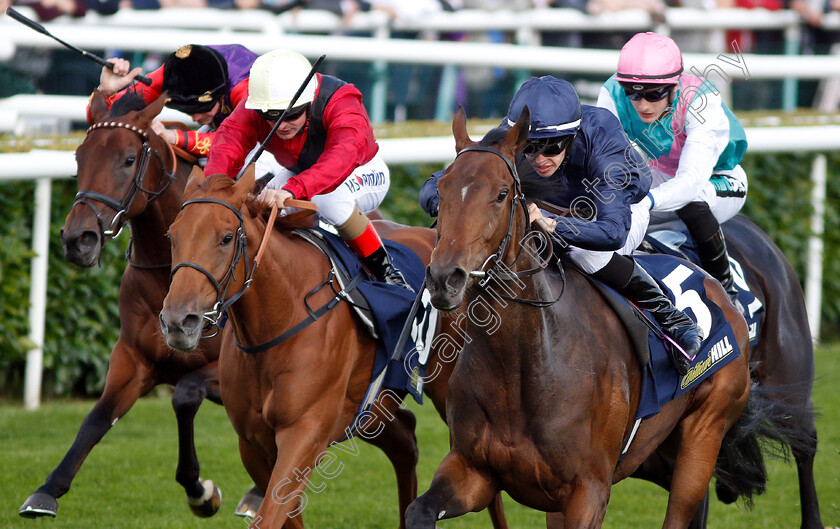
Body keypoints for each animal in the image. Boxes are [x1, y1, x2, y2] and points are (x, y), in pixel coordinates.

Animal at [20, 89, 226, 516]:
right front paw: (47, 490)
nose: (77, 239)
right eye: (79, 157)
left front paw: (201, 491)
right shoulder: (132, 357)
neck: (171, 272)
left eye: (129, 159)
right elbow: (97, 419)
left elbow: (186, 394)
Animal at [161, 166, 508, 528]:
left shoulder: (304, 434)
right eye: (172, 237)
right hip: (369, 404)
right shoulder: (254, 444)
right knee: (405, 442)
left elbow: (270, 515)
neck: (282, 316)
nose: (178, 321)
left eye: (226, 238)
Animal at [404, 108, 756, 528]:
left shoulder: (588, 491)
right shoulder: (474, 471)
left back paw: (684, 331)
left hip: (704, 434)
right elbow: (418, 509)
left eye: (502, 194)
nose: (445, 278)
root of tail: (721, 290)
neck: (521, 368)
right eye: (441, 192)